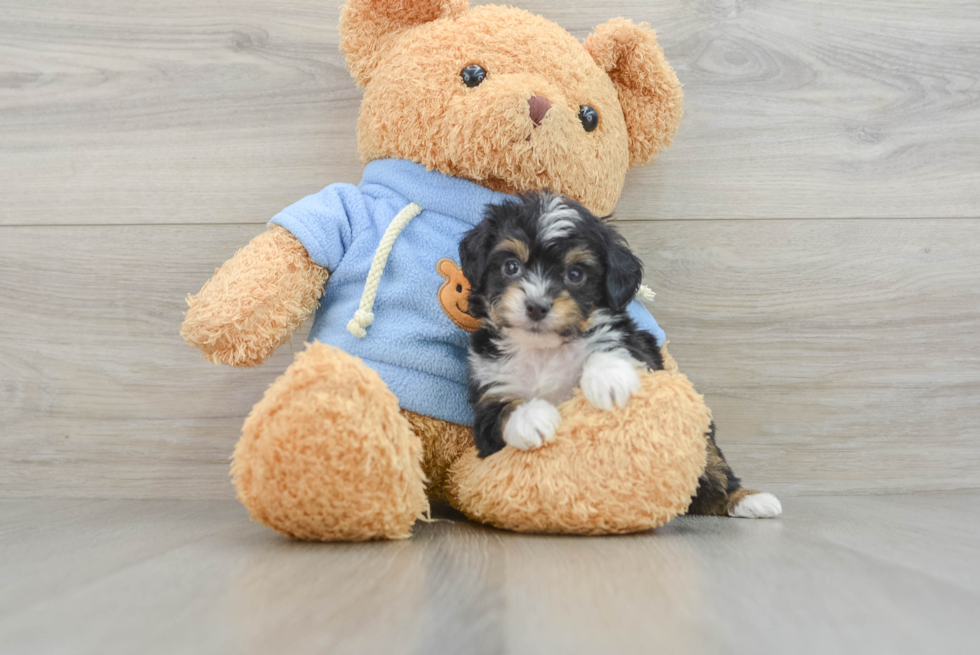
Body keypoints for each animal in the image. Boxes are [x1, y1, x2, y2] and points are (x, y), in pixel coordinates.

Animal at [462, 191, 664, 456]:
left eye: (576, 274)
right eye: (511, 267)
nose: (537, 306)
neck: (543, 351)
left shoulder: (638, 347)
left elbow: (613, 345)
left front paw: (609, 376)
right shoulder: (489, 393)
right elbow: (501, 410)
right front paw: (530, 417)